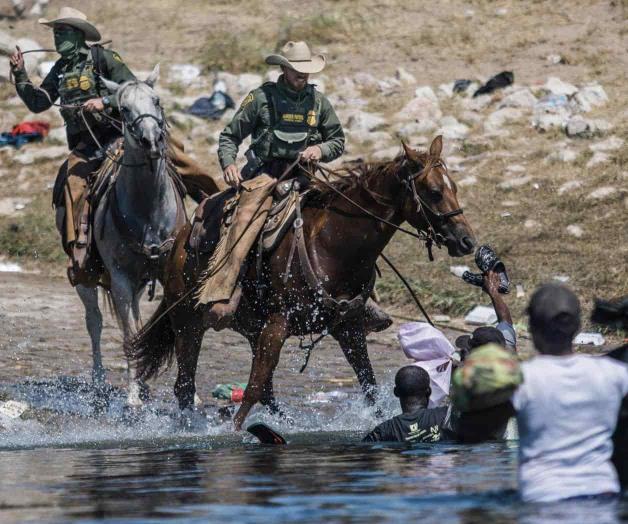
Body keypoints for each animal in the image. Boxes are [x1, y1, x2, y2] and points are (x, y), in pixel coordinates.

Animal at [71, 65, 185, 408]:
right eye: (123, 109)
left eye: (156, 100)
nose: (151, 140)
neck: (148, 210)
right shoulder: (120, 280)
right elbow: (128, 335)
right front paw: (133, 396)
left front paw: (191, 394)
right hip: (87, 278)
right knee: (95, 322)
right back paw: (100, 382)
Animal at [129, 136, 476, 430]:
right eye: (434, 192)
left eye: (455, 188)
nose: (467, 241)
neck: (333, 245)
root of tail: (179, 241)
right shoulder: (278, 324)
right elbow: (253, 387)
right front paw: (234, 431)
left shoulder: (348, 327)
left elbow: (369, 385)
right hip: (188, 324)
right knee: (186, 385)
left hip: (250, 328)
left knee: (264, 390)